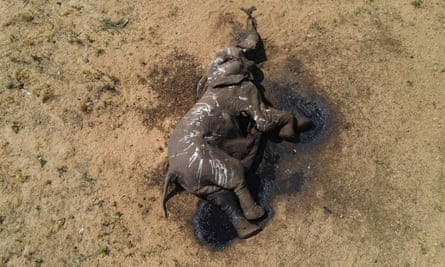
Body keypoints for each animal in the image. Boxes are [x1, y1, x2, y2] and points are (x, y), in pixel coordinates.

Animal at [161, 7, 310, 239]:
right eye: (232, 57)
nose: (248, 11)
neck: (214, 76)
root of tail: (173, 171)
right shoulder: (243, 91)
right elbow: (263, 118)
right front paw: (292, 132)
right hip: (206, 160)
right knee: (235, 174)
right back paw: (257, 217)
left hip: (196, 178)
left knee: (220, 195)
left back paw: (249, 230)